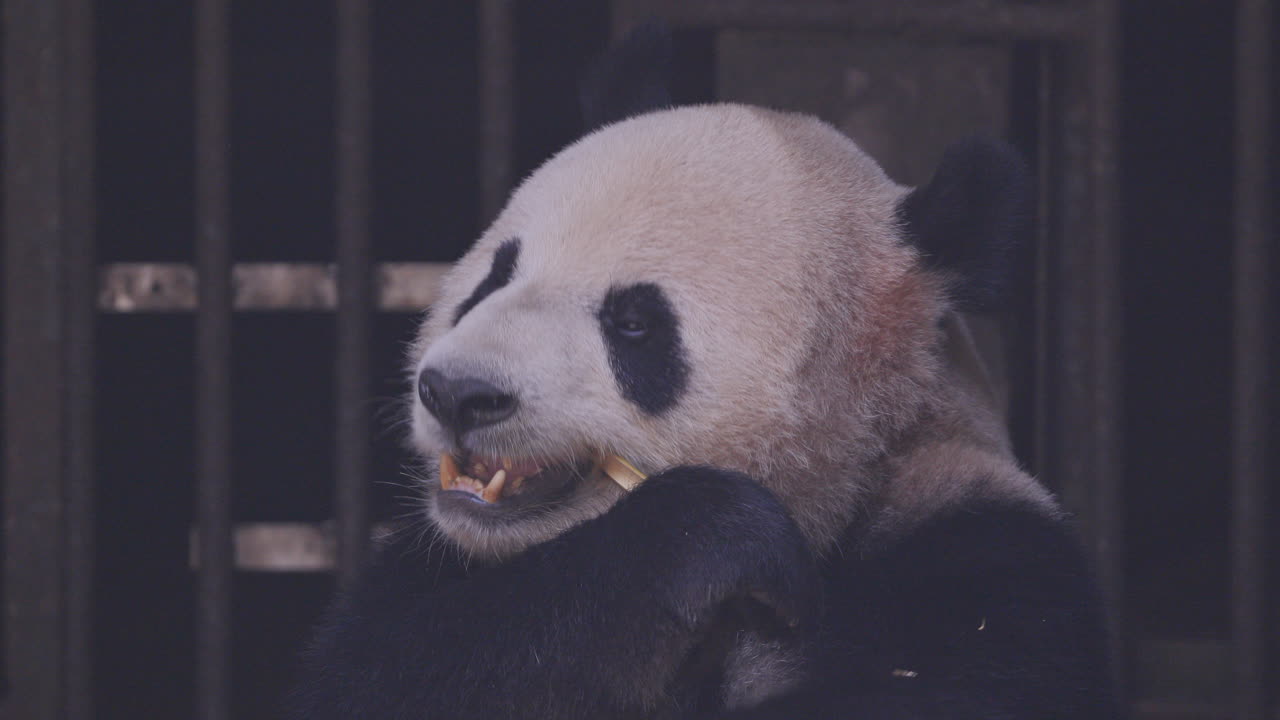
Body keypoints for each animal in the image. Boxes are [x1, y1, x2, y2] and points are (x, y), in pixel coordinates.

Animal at [289, 25, 1119, 720]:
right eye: (495, 275)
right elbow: (389, 671)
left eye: (634, 323)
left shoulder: (987, 560)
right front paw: (709, 531)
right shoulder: (442, 565)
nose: (459, 394)